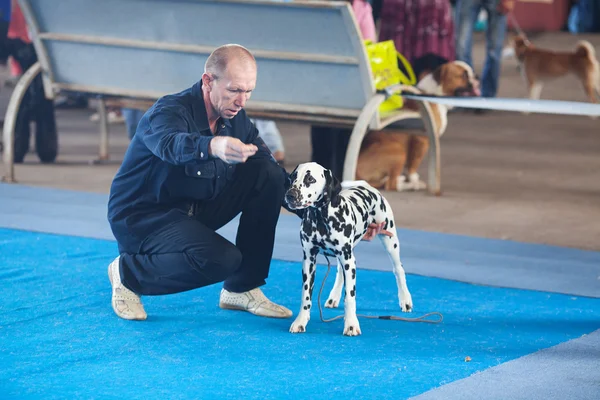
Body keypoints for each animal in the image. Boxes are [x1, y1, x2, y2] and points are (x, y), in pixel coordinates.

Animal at [286, 161, 412, 336]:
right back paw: (333, 297)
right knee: (340, 272)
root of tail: (368, 187)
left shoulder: (349, 261)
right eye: (292, 177)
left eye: (310, 179)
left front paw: (351, 324)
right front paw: (300, 321)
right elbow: (306, 296)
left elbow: (350, 297)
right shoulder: (309, 261)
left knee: (398, 269)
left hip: (389, 241)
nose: (290, 195)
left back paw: (405, 300)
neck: (321, 219)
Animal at [356, 60, 478, 192]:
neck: (433, 94)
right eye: (464, 75)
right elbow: (414, 165)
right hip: (398, 151)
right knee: (391, 185)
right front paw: (413, 179)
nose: (476, 76)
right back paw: (412, 185)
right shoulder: (422, 140)